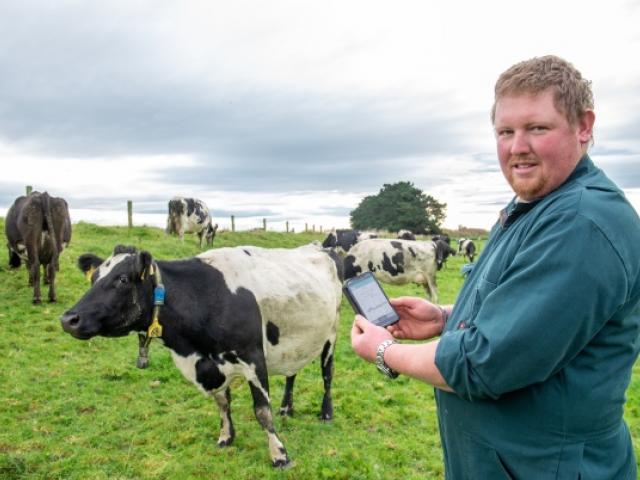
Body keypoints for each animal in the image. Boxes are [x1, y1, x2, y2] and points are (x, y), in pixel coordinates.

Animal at [58, 242, 344, 466]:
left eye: (122, 279)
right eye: (93, 278)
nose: (68, 319)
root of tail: (319, 247)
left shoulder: (253, 357)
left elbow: (262, 411)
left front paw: (279, 454)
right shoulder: (210, 365)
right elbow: (222, 403)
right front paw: (226, 437)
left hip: (331, 334)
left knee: (327, 375)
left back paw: (326, 413)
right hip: (293, 341)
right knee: (291, 373)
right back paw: (286, 408)